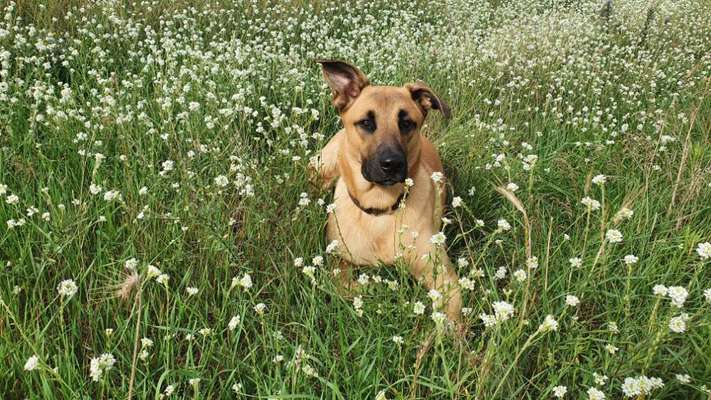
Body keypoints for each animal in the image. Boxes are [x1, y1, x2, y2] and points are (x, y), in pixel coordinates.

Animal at [314, 60, 464, 322]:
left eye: (406, 123)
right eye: (366, 122)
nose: (392, 164)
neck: (380, 208)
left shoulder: (443, 277)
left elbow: (451, 320)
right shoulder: (340, 262)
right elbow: (348, 286)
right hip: (323, 168)